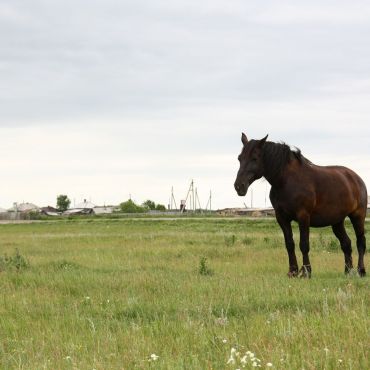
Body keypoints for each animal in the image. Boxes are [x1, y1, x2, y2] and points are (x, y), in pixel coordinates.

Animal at [234, 133, 368, 278]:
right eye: (239, 158)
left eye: (254, 158)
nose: (239, 186)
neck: (286, 181)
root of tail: (356, 178)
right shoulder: (281, 217)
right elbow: (289, 244)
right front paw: (292, 271)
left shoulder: (303, 216)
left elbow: (304, 244)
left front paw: (306, 272)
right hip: (337, 221)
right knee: (346, 244)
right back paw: (347, 271)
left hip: (357, 216)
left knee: (360, 242)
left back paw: (361, 271)